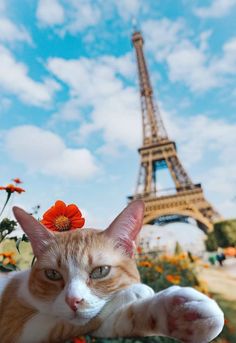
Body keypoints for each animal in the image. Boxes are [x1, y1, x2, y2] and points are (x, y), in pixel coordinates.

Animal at [0, 202, 223, 343]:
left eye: (100, 271)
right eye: (52, 274)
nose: (73, 301)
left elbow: (118, 320)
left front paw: (175, 313)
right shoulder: (18, 327)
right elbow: (83, 319)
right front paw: (134, 291)